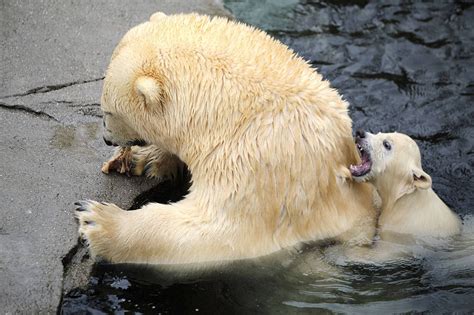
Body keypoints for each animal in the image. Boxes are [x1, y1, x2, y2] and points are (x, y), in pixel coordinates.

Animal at [76, 11, 376, 264]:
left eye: (107, 113)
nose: (107, 139)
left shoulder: (258, 164)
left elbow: (217, 231)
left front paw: (96, 221)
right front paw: (143, 160)